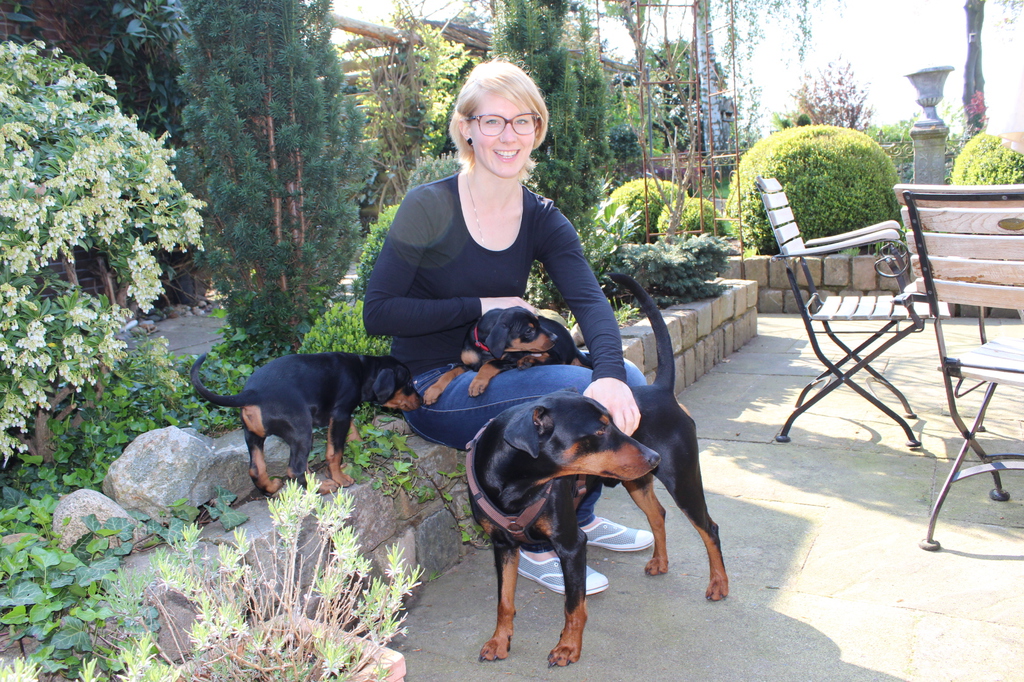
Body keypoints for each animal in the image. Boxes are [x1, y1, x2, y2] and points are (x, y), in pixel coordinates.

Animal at [190, 352, 421, 496]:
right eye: (409, 382)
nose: (422, 400)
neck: (362, 371)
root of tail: (252, 393)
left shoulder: (339, 416)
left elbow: (350, 433)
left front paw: (358, 447)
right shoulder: (340, 414)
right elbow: (335, 452)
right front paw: (339, 477)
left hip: (252, 435)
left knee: (256, 469)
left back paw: (271, 487)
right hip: (302, 430)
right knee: (295, 470)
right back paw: (323, 486)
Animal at [423, 306, 591, 405]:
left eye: (538, 323)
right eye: (529, 331)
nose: (555, 338)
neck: (484, 349)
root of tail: (574, 347)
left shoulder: (511, 360)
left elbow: (489, 364)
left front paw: (477, 383)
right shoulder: (466, 364)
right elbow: (450, 372)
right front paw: (432, 390)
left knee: (556, 358)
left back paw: (528, 360)